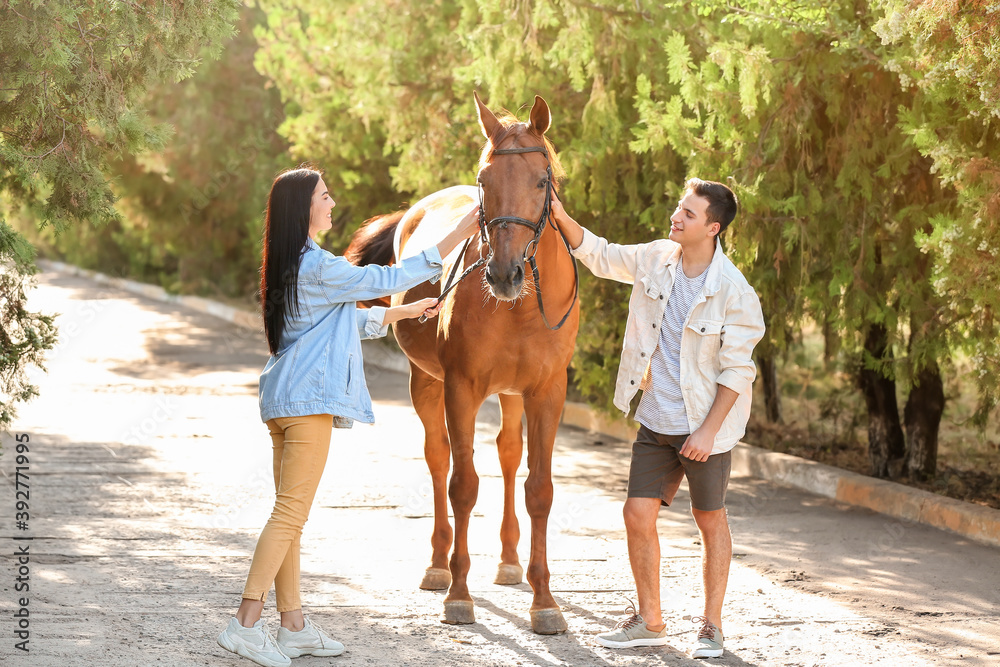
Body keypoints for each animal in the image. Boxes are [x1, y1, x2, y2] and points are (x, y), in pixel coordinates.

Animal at [344, 91, 580, 636]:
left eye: (541, 182)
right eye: (484, 181)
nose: (505, 273)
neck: (517, 308)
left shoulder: (546, 392)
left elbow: (539, 489)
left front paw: (544, 602)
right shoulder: (461, 387)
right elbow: (463, 485)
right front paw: (458, 593)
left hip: (512, 395)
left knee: (509, 455)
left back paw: (510, 562)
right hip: (426, 383)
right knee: (439, 458)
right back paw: (437, 564)